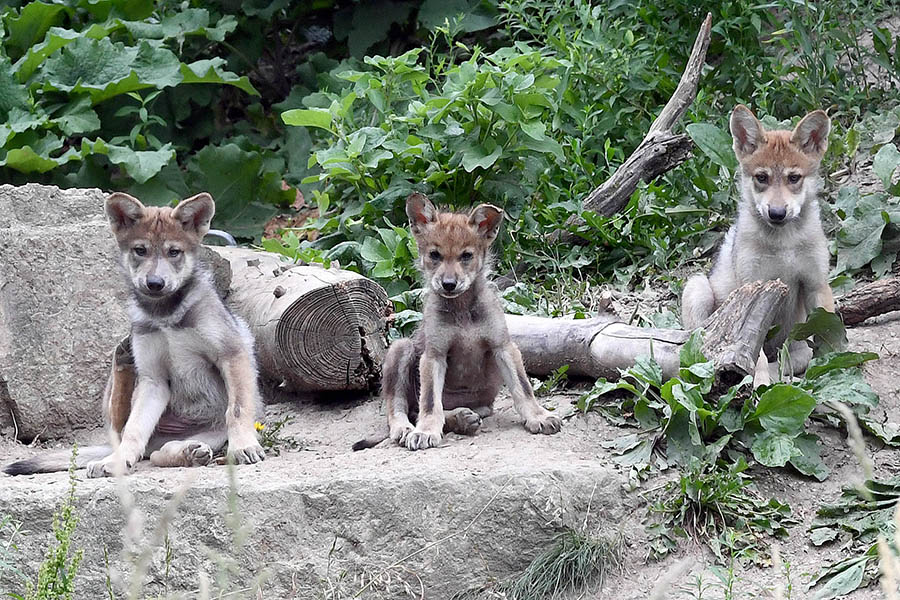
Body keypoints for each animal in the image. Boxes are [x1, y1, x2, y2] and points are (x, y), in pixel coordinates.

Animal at [4, 192, 266, 477]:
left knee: (160, 452)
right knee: (126, 432)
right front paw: (118, 461)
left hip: (212, 434)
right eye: (140, 250)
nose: (155, 283)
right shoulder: (154, 378)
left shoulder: (231, 354)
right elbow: (133, 430)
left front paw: (243, 447)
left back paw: (189, 452)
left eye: (174, 252)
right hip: (130, 389)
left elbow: (237, 409)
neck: (165, 316)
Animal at [353, 193, 562, 451]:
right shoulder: (434, 355)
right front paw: (426, 431)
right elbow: (431, 403)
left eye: (466, 256)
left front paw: (538, 417)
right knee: (400, 409)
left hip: (482, 404)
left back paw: (462, 418)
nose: (449, 284)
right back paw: (412, 428)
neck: (462, 312)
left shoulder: (503, 347)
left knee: (433, 411)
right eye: (435, 255)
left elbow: (523, 388)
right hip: (401, 349)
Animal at [681, 105, 834, 382]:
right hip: (698, 289)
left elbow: (827, 335)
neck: (785, 243)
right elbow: (756, 356)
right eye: (761, 177)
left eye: (794, 178)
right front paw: (760, 383)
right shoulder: (754, 294)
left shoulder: (816, 285)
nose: (777, 213)